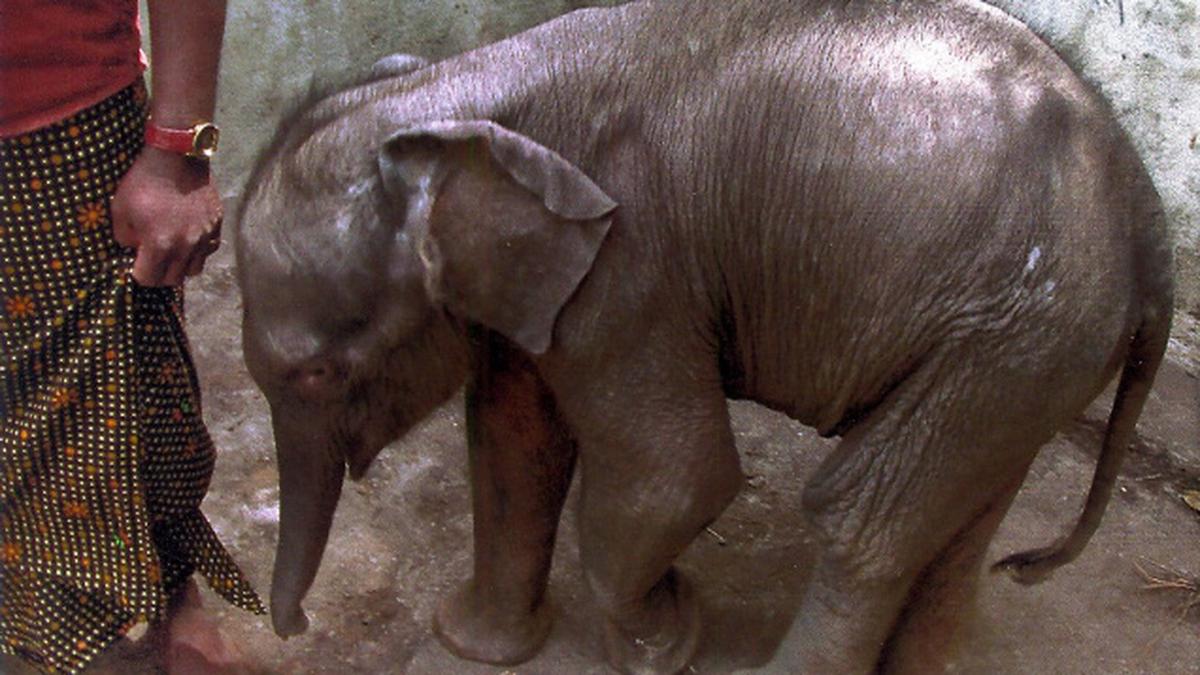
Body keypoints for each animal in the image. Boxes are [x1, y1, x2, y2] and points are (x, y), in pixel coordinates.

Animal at [234, 0, 1174, 672]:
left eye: (319, 372)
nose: (296, 626)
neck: (457, 91)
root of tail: (1150, 220)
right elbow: (512, 438)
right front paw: (473, 644)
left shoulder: (634, 260)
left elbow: (675, 474)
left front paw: (665, 639)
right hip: (1025, 350)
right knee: (957, 521)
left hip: (1021, 325)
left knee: (864, 521)